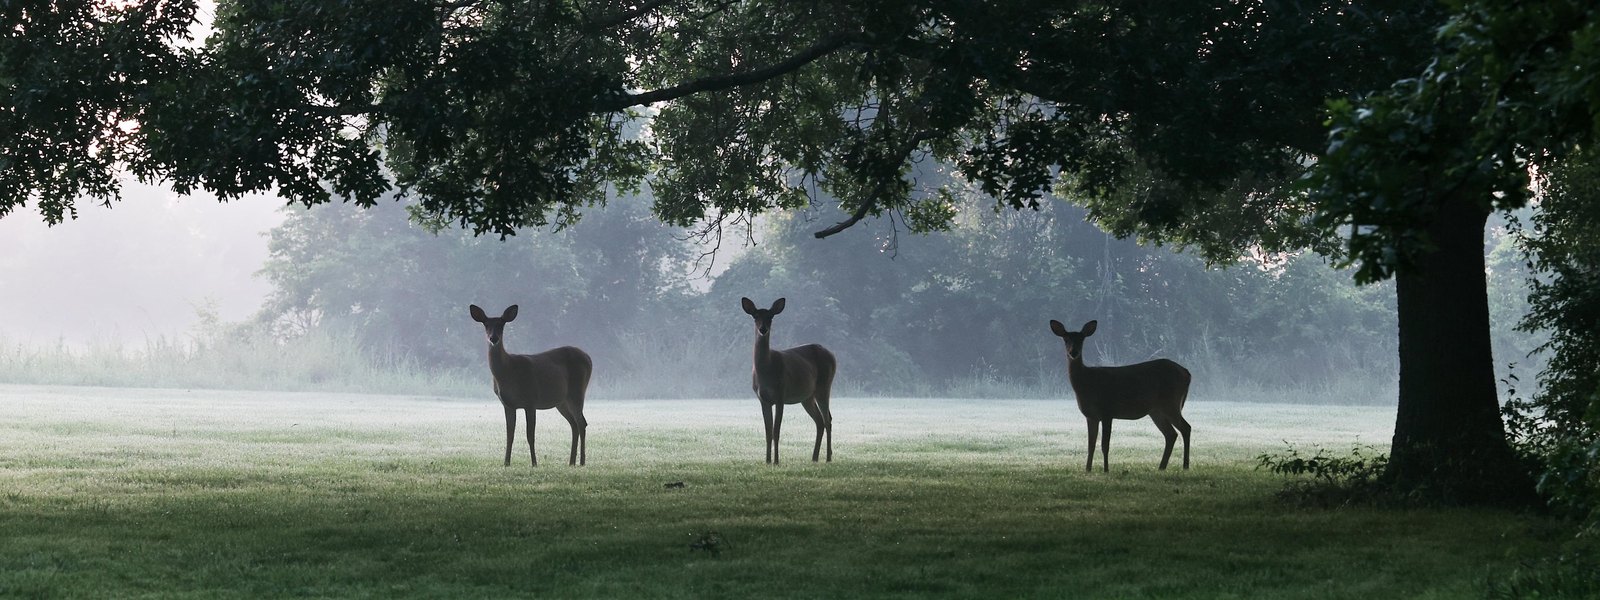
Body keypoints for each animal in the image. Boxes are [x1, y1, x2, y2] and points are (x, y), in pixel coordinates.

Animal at [469, 304, 592, 466]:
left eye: (501, 325)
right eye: (486, 325)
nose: (493, 338)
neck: (508, 371)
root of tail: (589, 358)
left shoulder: (530, 400)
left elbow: (530, 435)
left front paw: (534, 463)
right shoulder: (507, 404)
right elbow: (509, 435)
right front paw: (506, 463)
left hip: (577, 391)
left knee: (582, 423)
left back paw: (582, 462)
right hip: (562, 401)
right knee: (574, 424)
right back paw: (571, 462)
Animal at [741, 297, 837, 464]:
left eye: (770, 317)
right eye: (755, 316)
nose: (763, 329)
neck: (766, 371)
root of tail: (832, 355)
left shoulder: (781, 394)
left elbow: (776, 431)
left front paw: (776, 461)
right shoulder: (763, 399)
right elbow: (768, 432)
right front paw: (767, 461)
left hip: (824, 385)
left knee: (828, 419)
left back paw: (828, 458)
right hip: (807, 397)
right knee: (819, 421)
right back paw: (814, 457)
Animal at [1050, 319, 1192, 472]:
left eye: (1081, 339)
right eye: (1066, 339)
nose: (1073, 352)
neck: (1087, 383)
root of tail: (1187, 373)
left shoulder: (1107, 411)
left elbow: (1105, 445)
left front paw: (1106, 470)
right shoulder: (1091, 416)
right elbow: (1091, 445)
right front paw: (1087, 470)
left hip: (1171, 403)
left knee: (1186, 428)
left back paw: (1185, 466)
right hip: (1156, 411)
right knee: (1171, 434)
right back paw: (1162, 467)